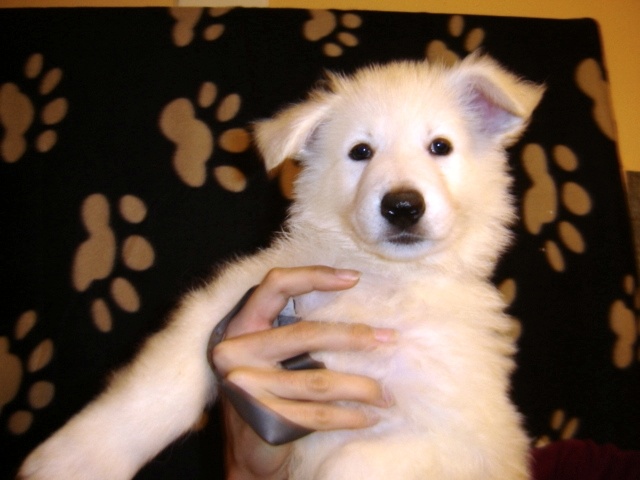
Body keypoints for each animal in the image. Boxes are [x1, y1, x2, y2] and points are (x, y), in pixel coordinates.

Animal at [19, 53, 543, 479]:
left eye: (440, 147)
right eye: (361, 152)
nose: (402, 206)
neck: (384, 279)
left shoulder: (465, 437)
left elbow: (356, 461)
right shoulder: (231, 302)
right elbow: (161, 382)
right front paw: (72, 462)